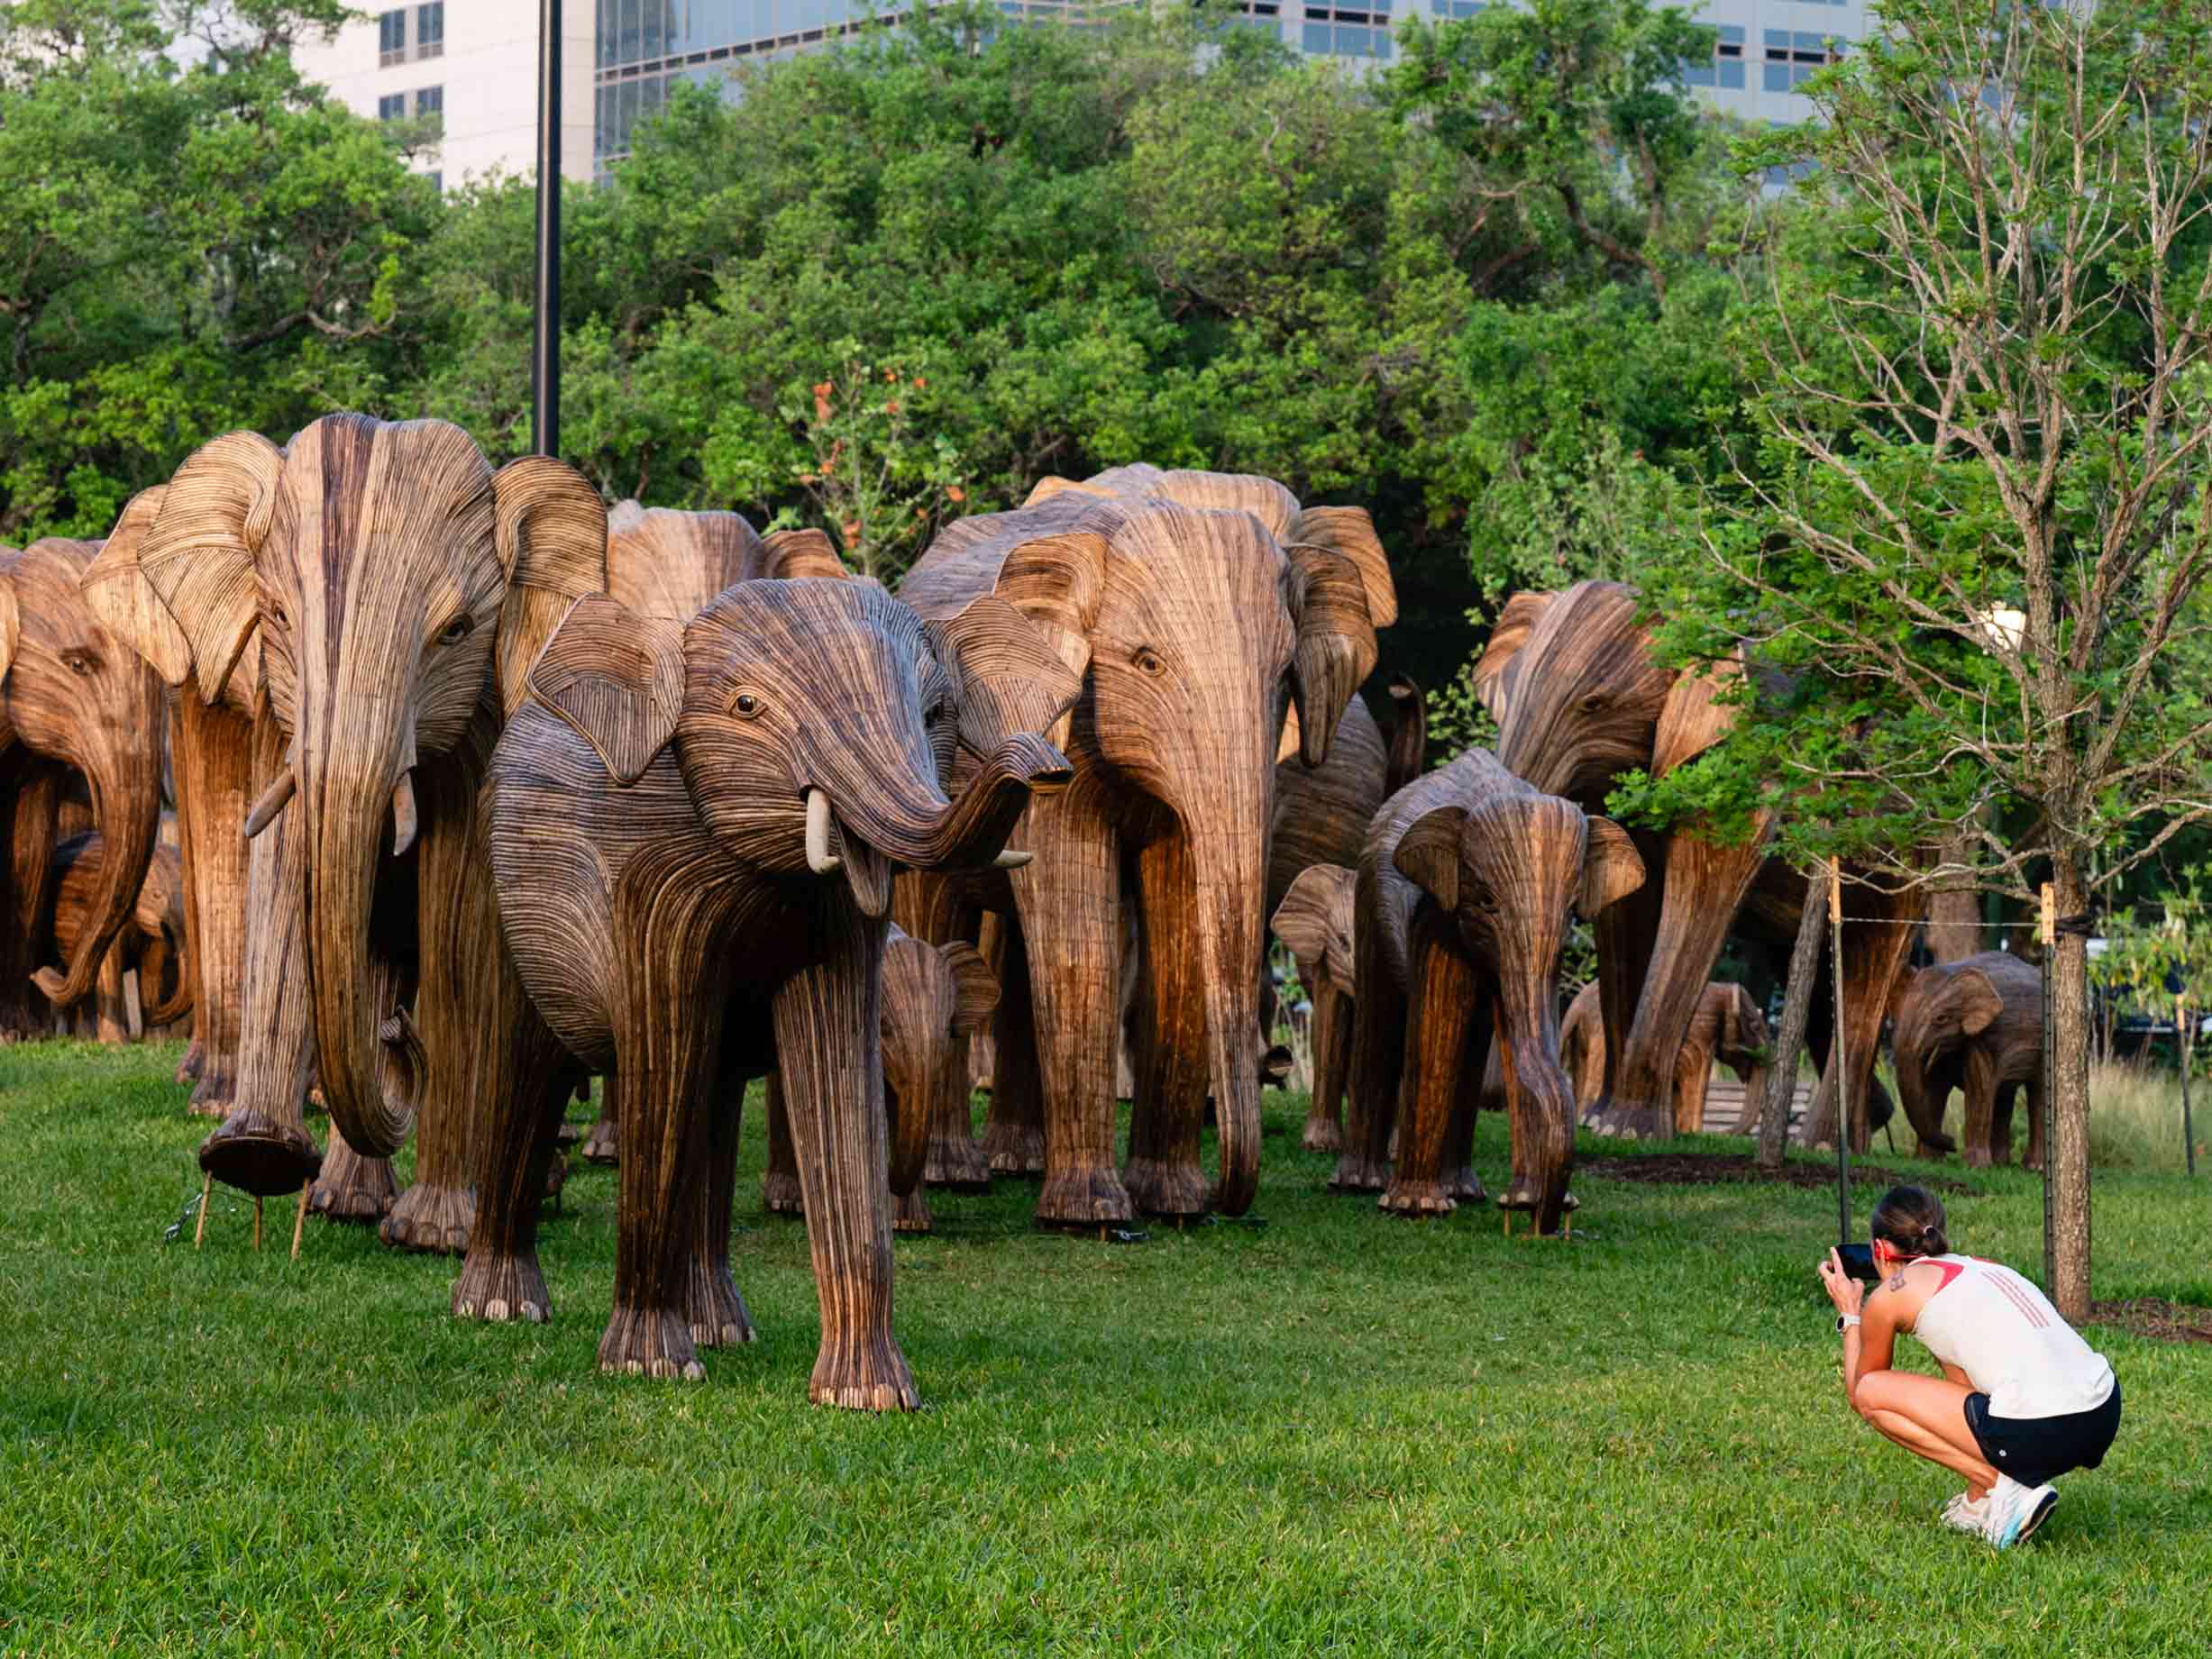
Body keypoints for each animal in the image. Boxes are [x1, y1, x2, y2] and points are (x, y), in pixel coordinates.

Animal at [46, 829, 190, 1041]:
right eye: (157, 895)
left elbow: (153, 968)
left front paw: (157, 1043)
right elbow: (109, 964)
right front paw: (116, 1044)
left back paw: (84, 1038)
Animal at [82, 416, 608, 1239]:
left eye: (457, 631)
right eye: (276, 618)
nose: (394, 1037)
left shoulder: (481, 725)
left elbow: (458, 914)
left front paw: (432, 1237)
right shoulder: (276, 712)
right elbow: (281, 878)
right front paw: (256, 1158)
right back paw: (346, 1201)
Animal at [485, 574, 1077, 1401]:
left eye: (936, 713)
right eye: (745, 706)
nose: (1046, 763)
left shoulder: (834, 921)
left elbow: (839, 1072)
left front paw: (870, 1396)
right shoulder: (650, 881)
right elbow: (662, 1055)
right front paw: (651, 1367)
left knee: (714, 1097)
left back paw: (724, 1329)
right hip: (501, 898)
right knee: (527, 1070)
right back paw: (502, 1309)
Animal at [1560, 979, 1770, 1134]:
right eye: (1755, 1027)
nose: (1719, 1134)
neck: (1724, 988)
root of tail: (1577, 1002)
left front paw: (1679, 1131)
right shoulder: (1703, 1030)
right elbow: (1695, 1071)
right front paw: (1691, 1134)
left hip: (1581, 1038)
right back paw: (1589, 1123)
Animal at [1890, 952, 2044, 1169]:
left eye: (1941, 1019)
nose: (1952, 1142)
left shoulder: (1984, 1038)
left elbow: (1979, 1090)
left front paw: (1976, 1167)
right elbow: (1935, 1089)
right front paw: (1928, 1161)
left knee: (2037, 1092)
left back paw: (2034, 1167)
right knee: (2004, 1095)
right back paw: (2001, 1164)